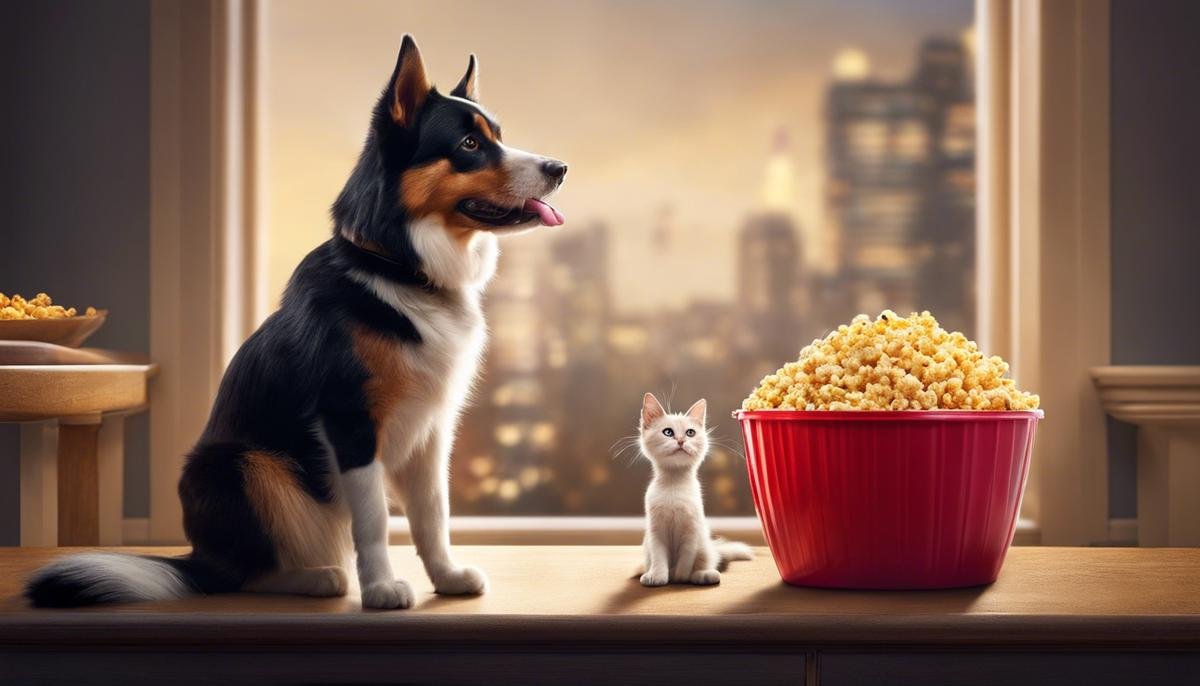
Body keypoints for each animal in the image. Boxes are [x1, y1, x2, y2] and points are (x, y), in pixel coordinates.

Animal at [27, 34, 566, 609]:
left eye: (498, 137)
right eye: (469, 144)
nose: (559, 168)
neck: (400, 266)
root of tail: (196, 558)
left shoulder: (431, 430)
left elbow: (432, 514)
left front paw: (446, 577)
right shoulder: (350, 419)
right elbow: (374, 520)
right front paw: (381, 589)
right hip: (239, 464)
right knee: (240, 576)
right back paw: (318, 578)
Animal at [638, 393, 748, 587]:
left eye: (690, 432)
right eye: (668, 432)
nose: (681, 441)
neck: (674, 484)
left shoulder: (692, 528)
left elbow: (687, 555)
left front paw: (681, 576)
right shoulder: (655, 530)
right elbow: (659, 555)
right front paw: (658, 576)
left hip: (704, 544)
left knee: (705, 562)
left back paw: (703, 575)